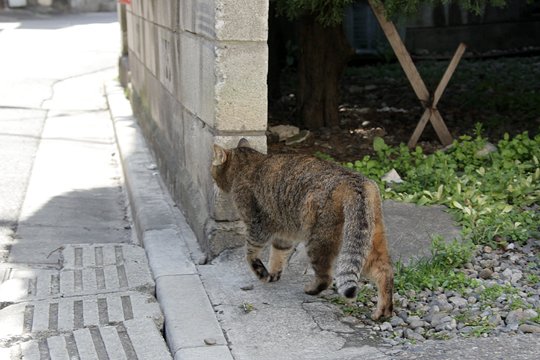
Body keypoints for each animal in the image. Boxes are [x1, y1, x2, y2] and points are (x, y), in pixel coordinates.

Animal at [210, 139, 392, 320]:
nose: (212, 181)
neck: (247, 164)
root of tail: (356, 182)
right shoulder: (284, 235)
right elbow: (277, 256)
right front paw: (274, 274)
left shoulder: (257, 226)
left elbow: (250, 254)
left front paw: (261, 272)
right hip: (366, 242)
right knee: (385, 271)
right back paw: (383, 312)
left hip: (318, 241)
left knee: (326, 277)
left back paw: (311, 289)